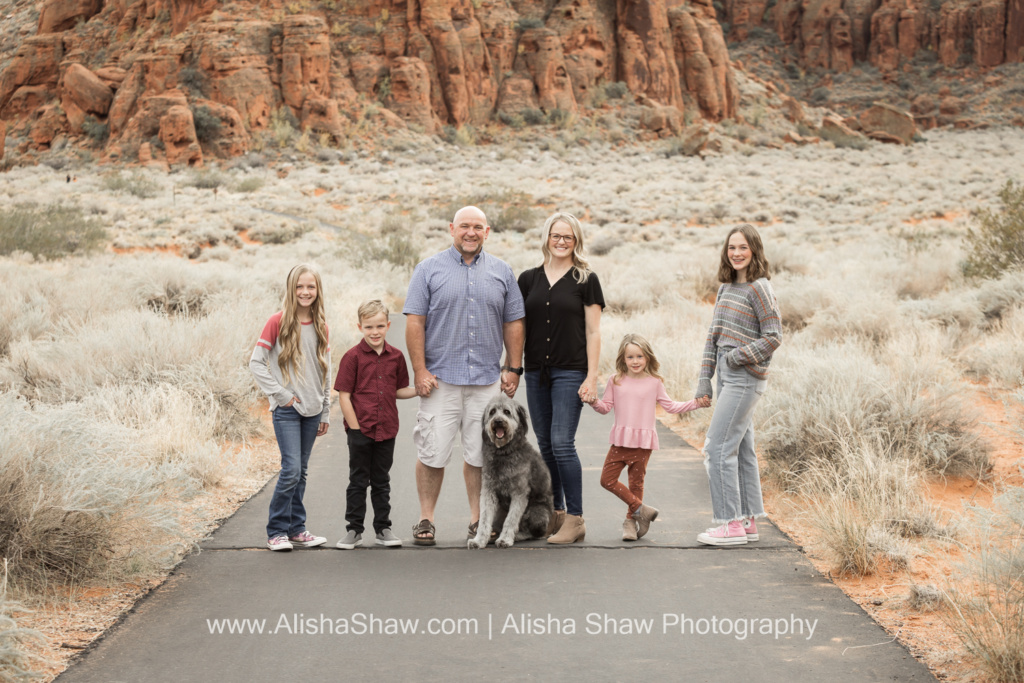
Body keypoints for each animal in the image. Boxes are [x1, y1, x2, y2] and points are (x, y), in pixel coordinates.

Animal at [468, 395, 552, 548]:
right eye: (492, 412)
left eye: (507, 412)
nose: (498, 421)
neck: (503, 453)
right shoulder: (488, 491)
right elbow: (484, 519)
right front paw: (479, 540)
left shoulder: (519, 494)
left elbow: (511, 519)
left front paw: (505, 539)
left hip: (537, 513)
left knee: (532, 533)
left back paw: (517, 536)